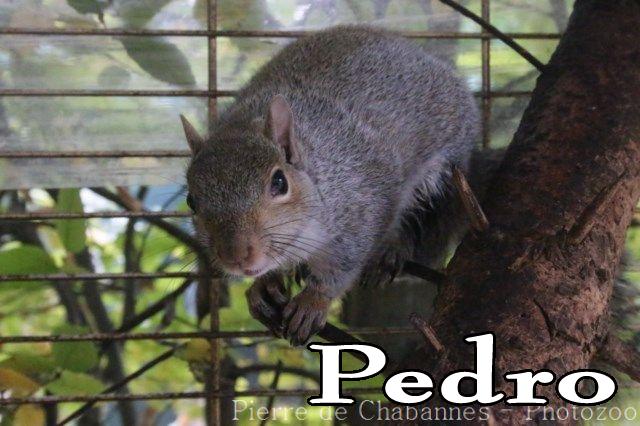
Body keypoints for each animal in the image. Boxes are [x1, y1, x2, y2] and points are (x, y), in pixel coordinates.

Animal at [181, 26, 479, 346]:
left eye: (279, 182)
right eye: (191, 201)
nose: (235, 256)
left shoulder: (361, 209)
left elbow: (344, 265)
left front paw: (313, 300)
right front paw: (264, 284)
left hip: (438, 175)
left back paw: (391, 250)